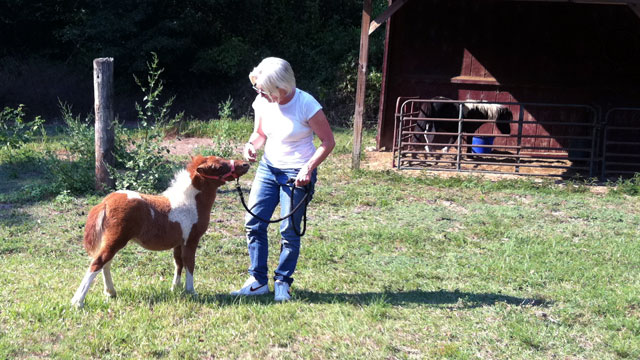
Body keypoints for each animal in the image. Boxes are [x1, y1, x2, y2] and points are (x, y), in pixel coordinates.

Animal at [70, 155, 250, 306]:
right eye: (219, 166)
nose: (245, 164)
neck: (190, 203)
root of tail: (106, 202)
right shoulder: (191, 240)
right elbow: (190, 263)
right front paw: (191, 291)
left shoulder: (179, 242)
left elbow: (178, 262)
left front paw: (175, 288)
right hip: (116, 239)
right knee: (98, 262)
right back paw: (78, 301)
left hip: (112, 240)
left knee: (105, 263)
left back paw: (110, 292)